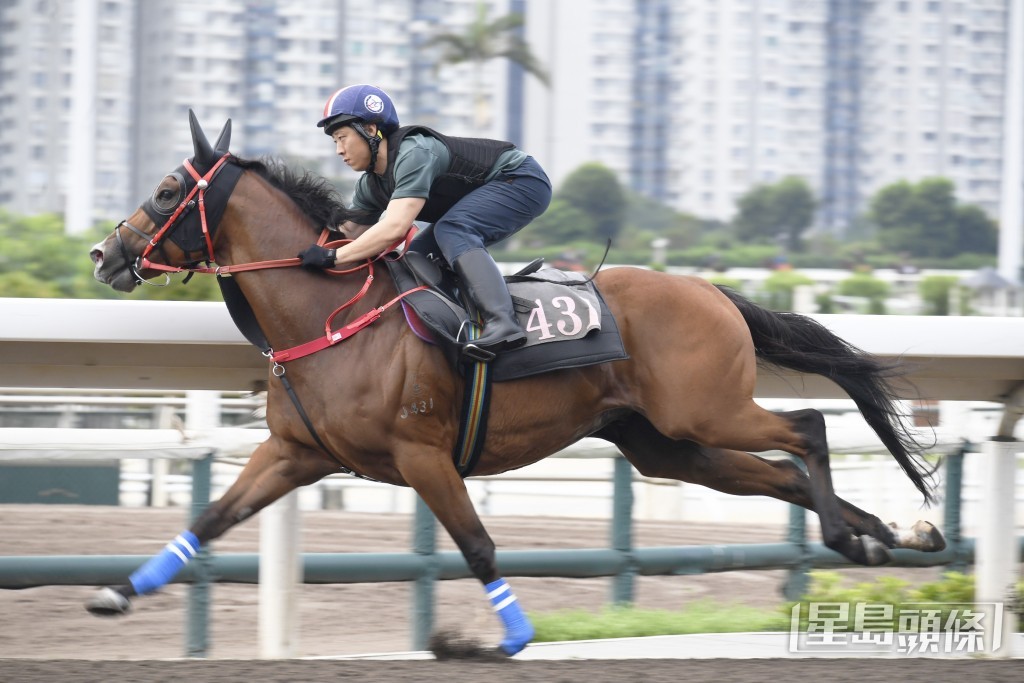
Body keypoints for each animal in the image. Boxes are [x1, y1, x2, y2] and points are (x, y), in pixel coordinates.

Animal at [87, 112, 945, 655]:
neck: (333, 315)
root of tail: (711, 290)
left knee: (807, 426)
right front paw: (117, 593)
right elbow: (211, 518)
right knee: (782, 473)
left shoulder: (422, 454)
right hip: (669, 444)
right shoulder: (296, 452)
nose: (104, 253)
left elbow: (477, 544)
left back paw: (858, 532)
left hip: (707, 409)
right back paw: (886, 533)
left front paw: (508, 637)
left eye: (167, 189)